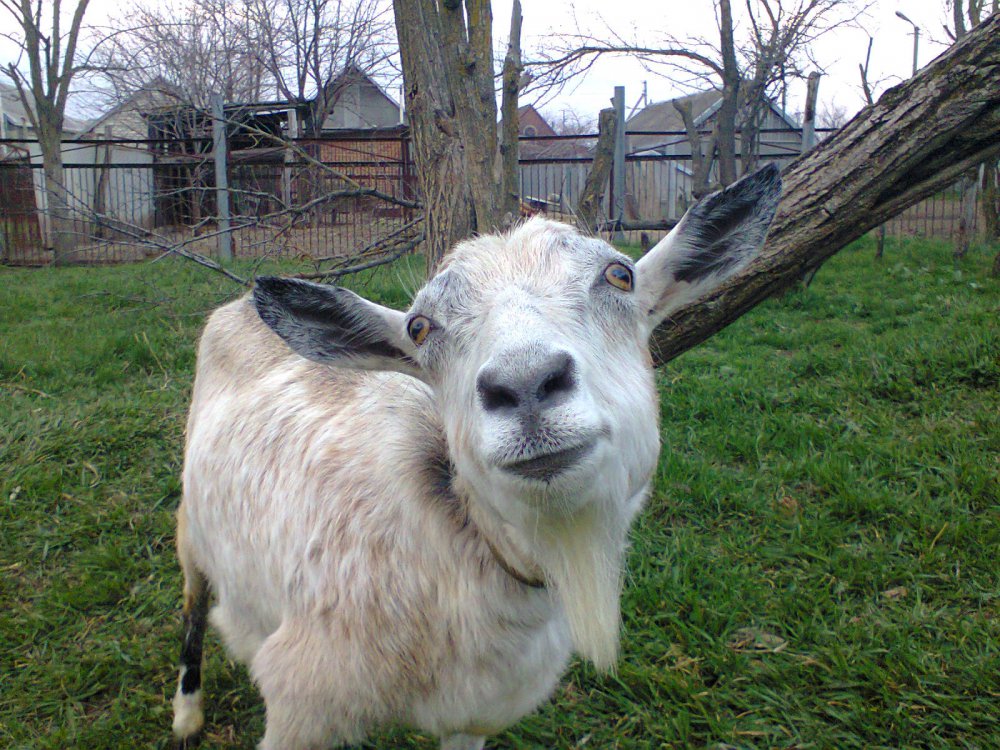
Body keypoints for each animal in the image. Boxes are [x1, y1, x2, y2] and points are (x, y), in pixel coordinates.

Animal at [172, 165, 782, 750]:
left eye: (619, 275)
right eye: (419, 327)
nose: (526, 383)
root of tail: (236, 307)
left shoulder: (477, 714)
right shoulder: (300, 704)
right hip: (190, 526)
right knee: (194, 600)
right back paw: (186, 712)